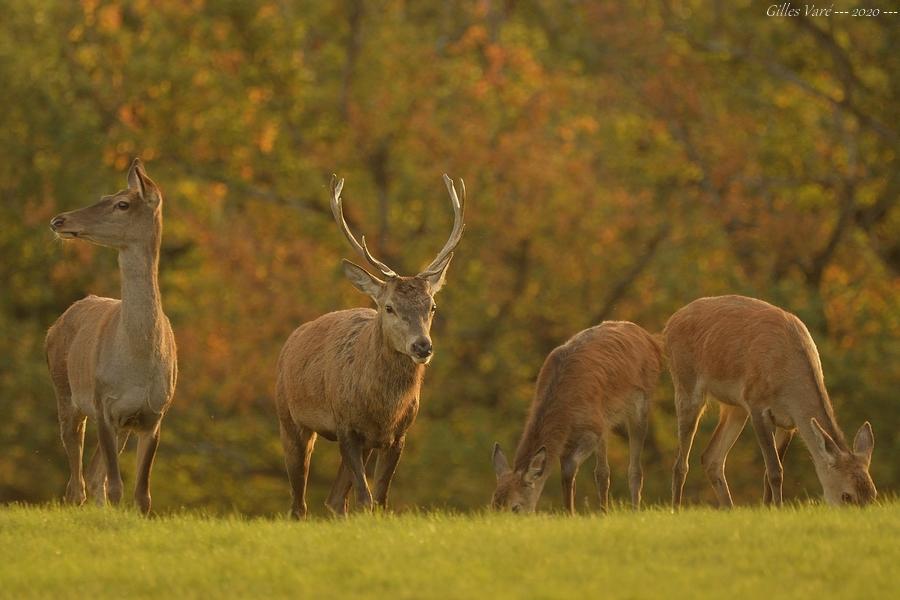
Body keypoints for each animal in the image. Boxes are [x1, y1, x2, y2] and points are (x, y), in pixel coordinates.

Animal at [45, 159, 178, 516]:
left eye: (122, 204)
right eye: (104, 196)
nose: (59, 220)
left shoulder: (154, 414)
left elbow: (143, 495)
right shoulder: (104, 402)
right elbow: (117, 487)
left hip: (120, 425)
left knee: (92, 477)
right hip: (65, 390)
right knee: (75, 483)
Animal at [276, 172, 468, 516]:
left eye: (432, 306)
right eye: (389, 307)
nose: (422, 346)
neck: (384, 410)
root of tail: (290, 342)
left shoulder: (398, 434)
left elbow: (379, 498)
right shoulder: (346, 426)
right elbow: (365, 498)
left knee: (334, 499)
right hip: (288, 417)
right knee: (299, 503)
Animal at [488, 322, 664, 512]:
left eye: (515, 507)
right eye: (493, 504)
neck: (566, 415)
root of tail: (652, 340)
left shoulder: (592, 429)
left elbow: (568, 466)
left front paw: (569, 513)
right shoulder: (578, 434)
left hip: (641, 404)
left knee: (635, 468)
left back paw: (634, 509)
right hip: (605, 420)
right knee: (603, 472)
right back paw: (604, 512)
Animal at [664, 294, 876, 506]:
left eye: (873, 493)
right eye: (846, 495)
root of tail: (670, 324)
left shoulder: (790, 423)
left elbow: (769, 473)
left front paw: (768, 508)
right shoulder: (757, 404)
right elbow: (775, 471)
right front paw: (778, 507)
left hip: (735, 406)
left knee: (711, 458)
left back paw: (728, 507)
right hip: (686, 384)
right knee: (680, 463)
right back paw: (677, 508)